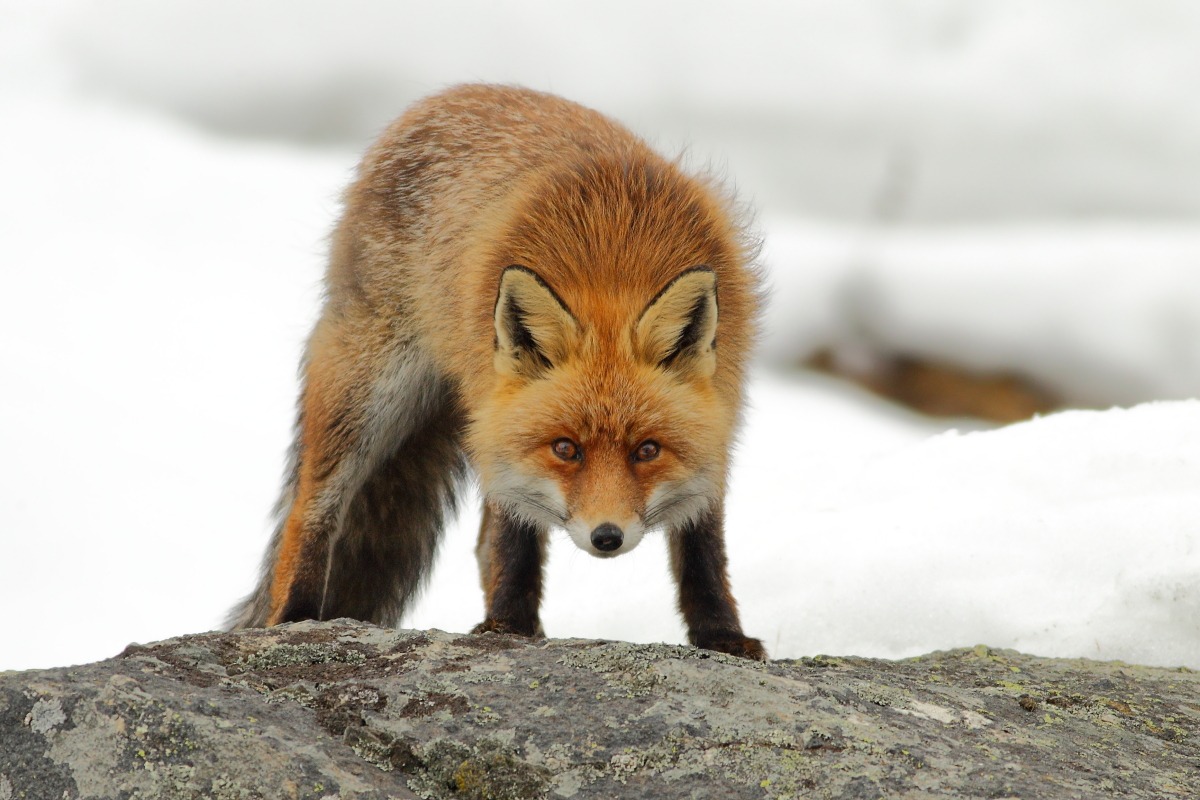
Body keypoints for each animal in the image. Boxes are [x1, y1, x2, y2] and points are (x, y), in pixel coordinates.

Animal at [229, 84, 765, 660]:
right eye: (565, 449)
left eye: (647, 451)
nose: (606, 537)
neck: (615, 258)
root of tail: (446, 95)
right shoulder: (500, 426)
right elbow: (515, 539)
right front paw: (508, 625)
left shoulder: (720, 414)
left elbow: (703, 548)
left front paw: (721, 636)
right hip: (367, 394)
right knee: (313, 510)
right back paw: (296, 618)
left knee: (479, 541)